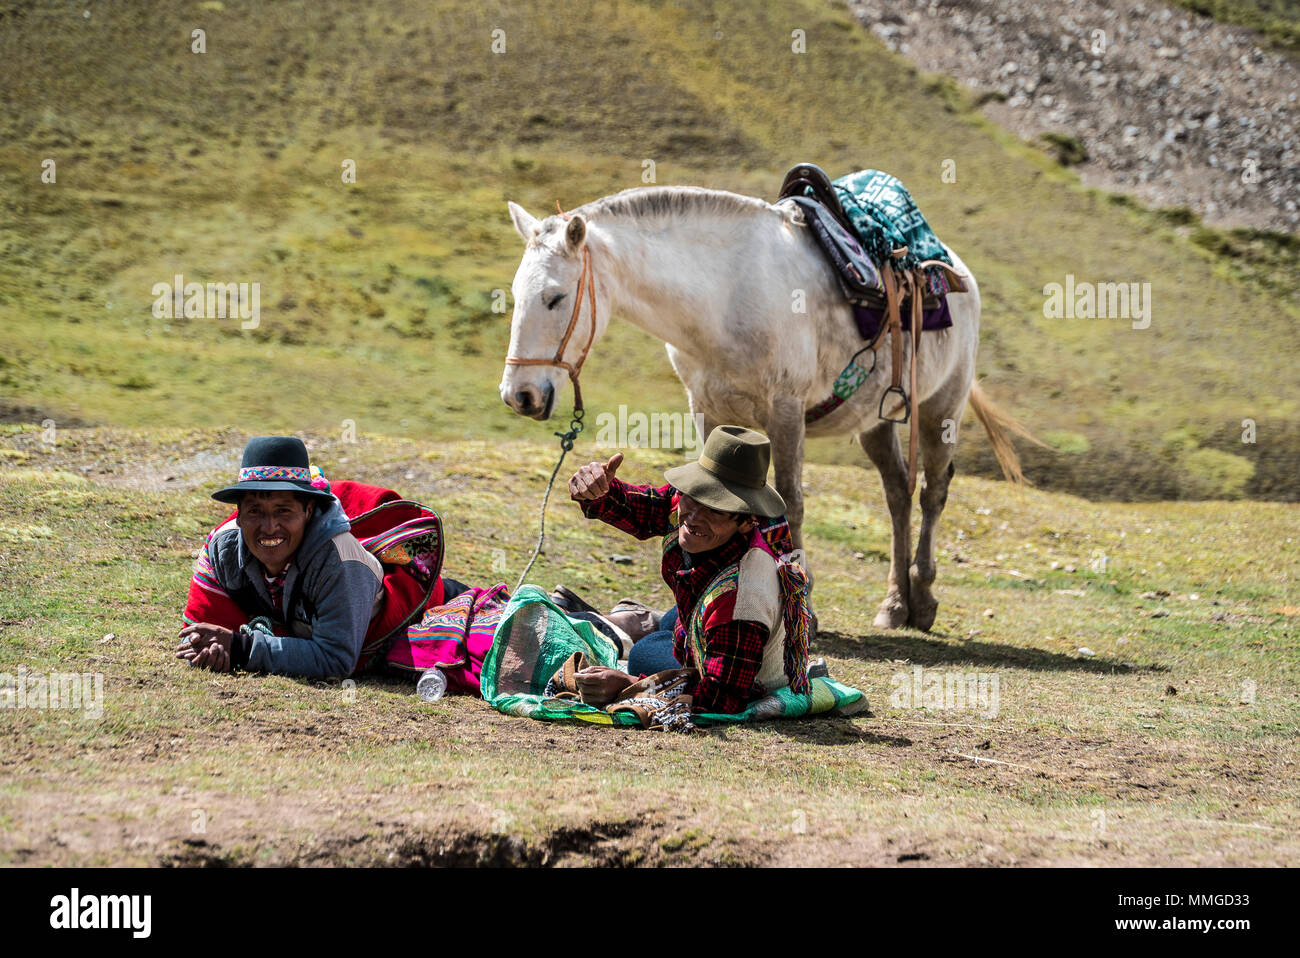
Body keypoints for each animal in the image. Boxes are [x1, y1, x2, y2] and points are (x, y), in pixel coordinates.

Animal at [496, 188, 1024, 634]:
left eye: (555, 298)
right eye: (517, 295)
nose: (519, 395)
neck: (722, 297)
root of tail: (958, 271)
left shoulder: (785, 410)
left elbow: (791, 501)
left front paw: (805, 605)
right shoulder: (706, 409)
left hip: (941, 407)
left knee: (933, 493)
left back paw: (925, 598)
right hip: (874, 422)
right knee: (898, 492)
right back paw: (896, 604)